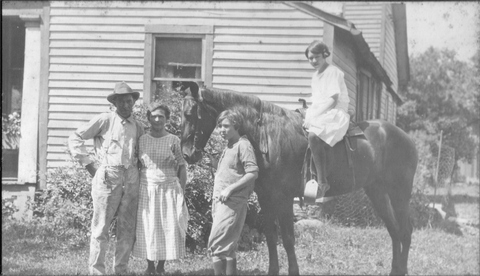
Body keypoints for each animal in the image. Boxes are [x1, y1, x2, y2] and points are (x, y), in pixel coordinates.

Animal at [179, 81, 416, 274]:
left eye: (190, 114)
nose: (187, 154)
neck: (267, 135)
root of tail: (407, 138)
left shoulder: (284, 199)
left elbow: (288, 239)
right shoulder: (266, 198)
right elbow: (271, 237)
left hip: (400, 194)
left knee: (405, 231)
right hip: (377, 192)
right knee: (394, 231)